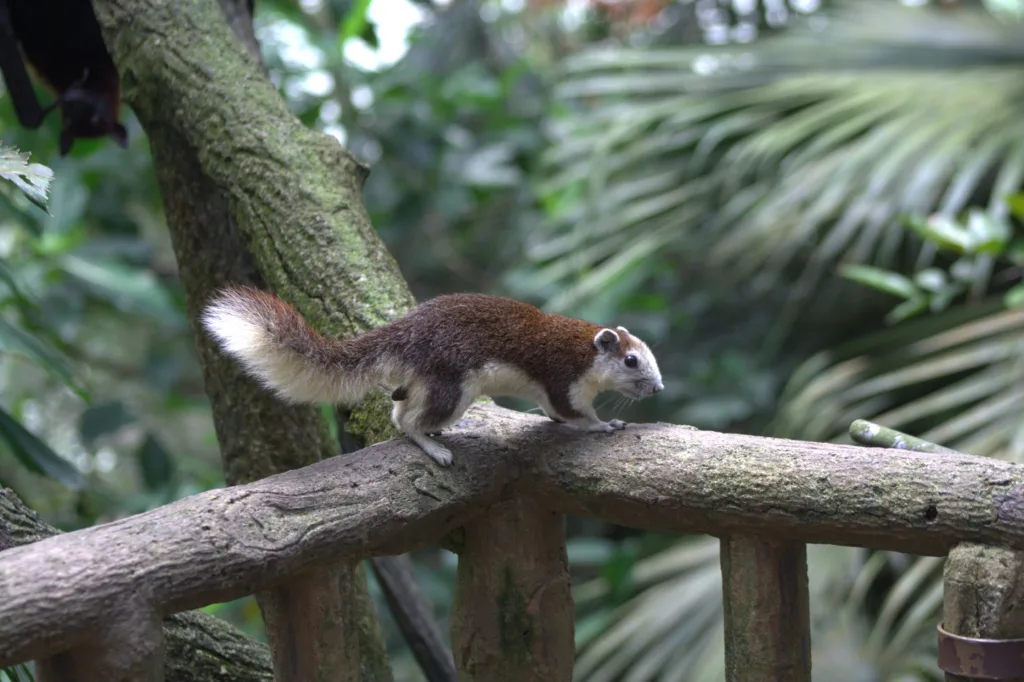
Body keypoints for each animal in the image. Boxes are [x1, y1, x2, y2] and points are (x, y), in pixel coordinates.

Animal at [201, 287, 664, 466]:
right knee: (408, 423)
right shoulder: (562, 377)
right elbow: (574, 413)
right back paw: (433, 446)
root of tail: (405, 333)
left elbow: (553, 412)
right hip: (451, 386)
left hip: (427, 383)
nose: (659, 387)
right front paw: (607, 424)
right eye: (630, 361)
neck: (584, 350)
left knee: (398, 412)